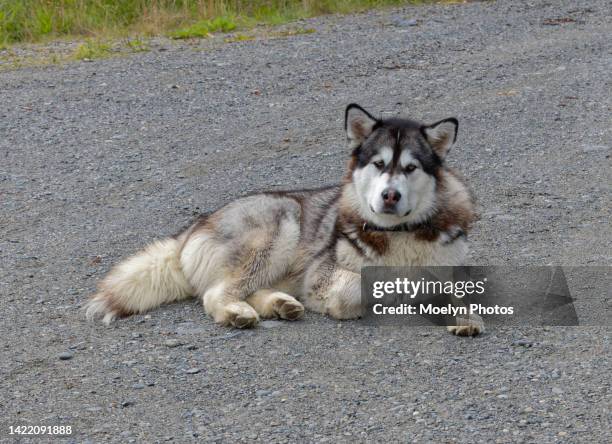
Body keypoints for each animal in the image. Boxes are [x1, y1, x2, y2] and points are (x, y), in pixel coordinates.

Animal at [85, 104, 482, 334]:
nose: (390, 196)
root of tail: (191, 228)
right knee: (216, 292)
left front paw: (461, 314)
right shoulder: (323, 274)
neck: (397, 235)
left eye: (411, 168)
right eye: (378, 164)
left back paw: (280, 305)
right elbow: (362, 287)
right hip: (279, 226)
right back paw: (237, 312)